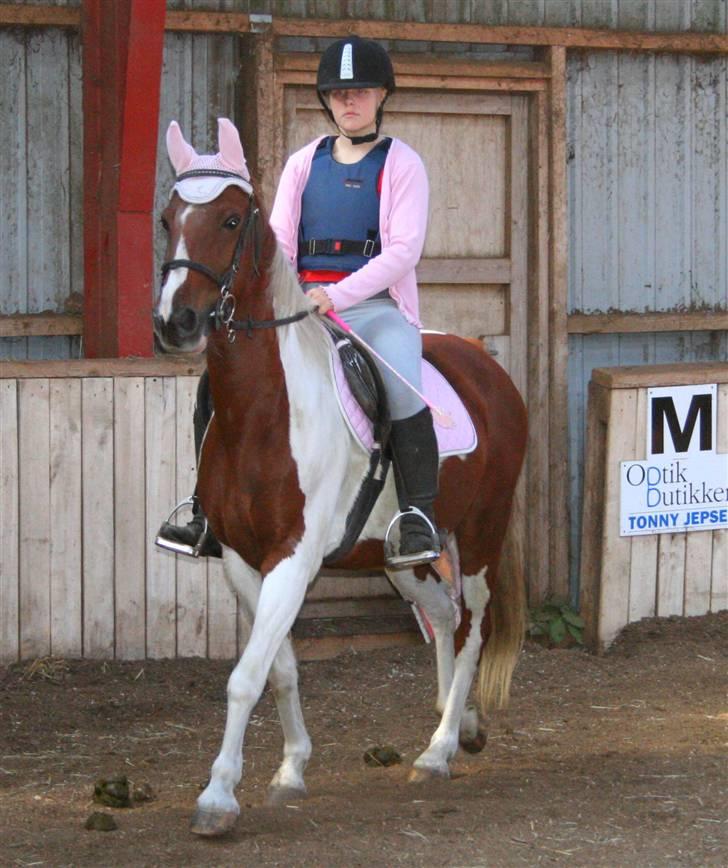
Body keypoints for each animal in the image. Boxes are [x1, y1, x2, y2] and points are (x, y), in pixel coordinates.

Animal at [153, 119, 528, 837]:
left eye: (231, 219)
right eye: (167, 219)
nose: (173, 323)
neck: (263, 410)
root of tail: (484, 363)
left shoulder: (293, 558)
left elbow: (245, 676)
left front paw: (217, 797)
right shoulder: (242, 559)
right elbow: (279, 669)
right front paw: (290, 770)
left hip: (481, 536)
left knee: (472, 624)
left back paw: (439, 750)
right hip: (401, 554)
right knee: (442, 614)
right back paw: (456, 720)